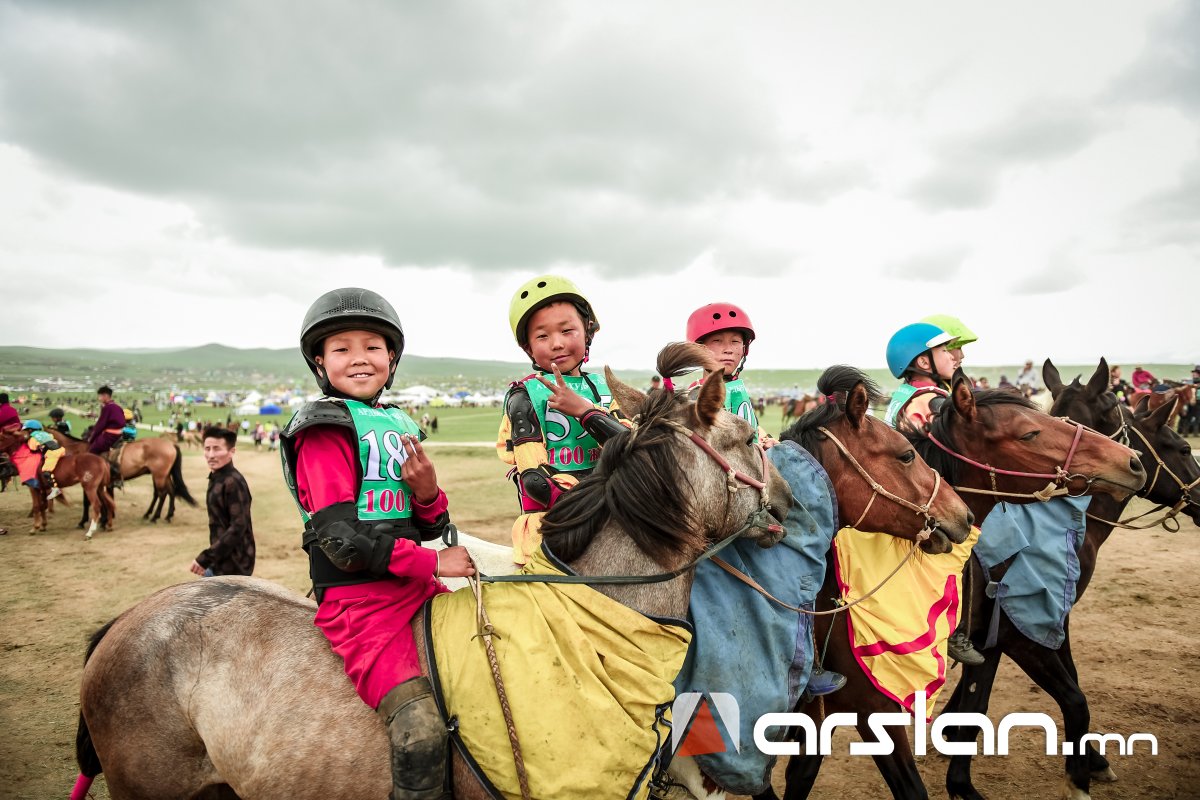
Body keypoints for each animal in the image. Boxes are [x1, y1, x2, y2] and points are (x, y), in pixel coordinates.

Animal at [50, 431, 195, 525]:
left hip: (159, 475)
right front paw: (106, 517)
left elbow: (88, 502)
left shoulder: (89, 483)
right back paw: (166, 515)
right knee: (171, 491)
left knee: (162, 493)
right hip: (163, 475)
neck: (79, 453)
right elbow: (105, 499)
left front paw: (84, 521)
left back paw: (154, 517)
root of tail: (171, 445)